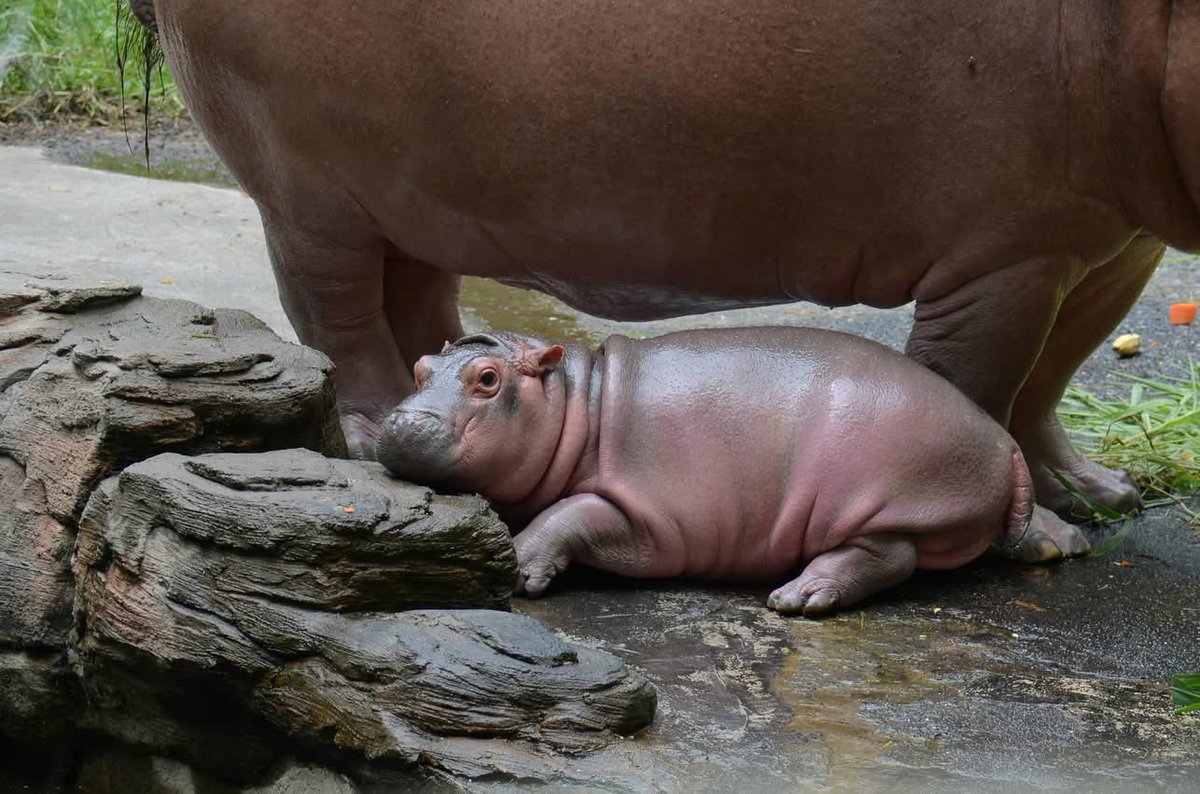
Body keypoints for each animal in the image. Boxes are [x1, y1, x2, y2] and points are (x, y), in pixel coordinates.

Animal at [130, 1, 1200, 521]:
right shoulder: (1003, 260)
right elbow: (980, 386)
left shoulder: (1105, 244)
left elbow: (1052, 377)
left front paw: (1097, 495)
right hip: (311, 196)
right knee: (340, 318)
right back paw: (367, 435)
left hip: (412, 195)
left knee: (418, 306)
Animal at [375, 328, 1088, 614]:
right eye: (418, 367)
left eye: (487, 379)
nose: (403, 423)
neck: (576, 399)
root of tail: (1001, 437)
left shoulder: (645, 516)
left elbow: (569, 513)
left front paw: (518, 567)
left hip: (883, 505)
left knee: (888, 558)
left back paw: (799, 597)